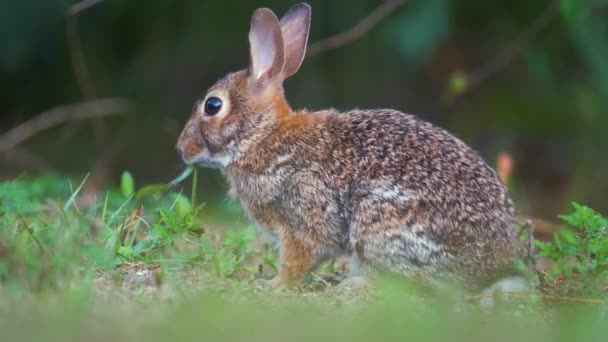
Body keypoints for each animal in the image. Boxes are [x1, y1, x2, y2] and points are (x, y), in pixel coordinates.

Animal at [178, 3, 520, 292]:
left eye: (212, 105)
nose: (182, 148)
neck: (262, 135)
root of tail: (493, 264)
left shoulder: (301, 218)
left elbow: (297, 260)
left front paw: (272, 285)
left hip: (379, 224)